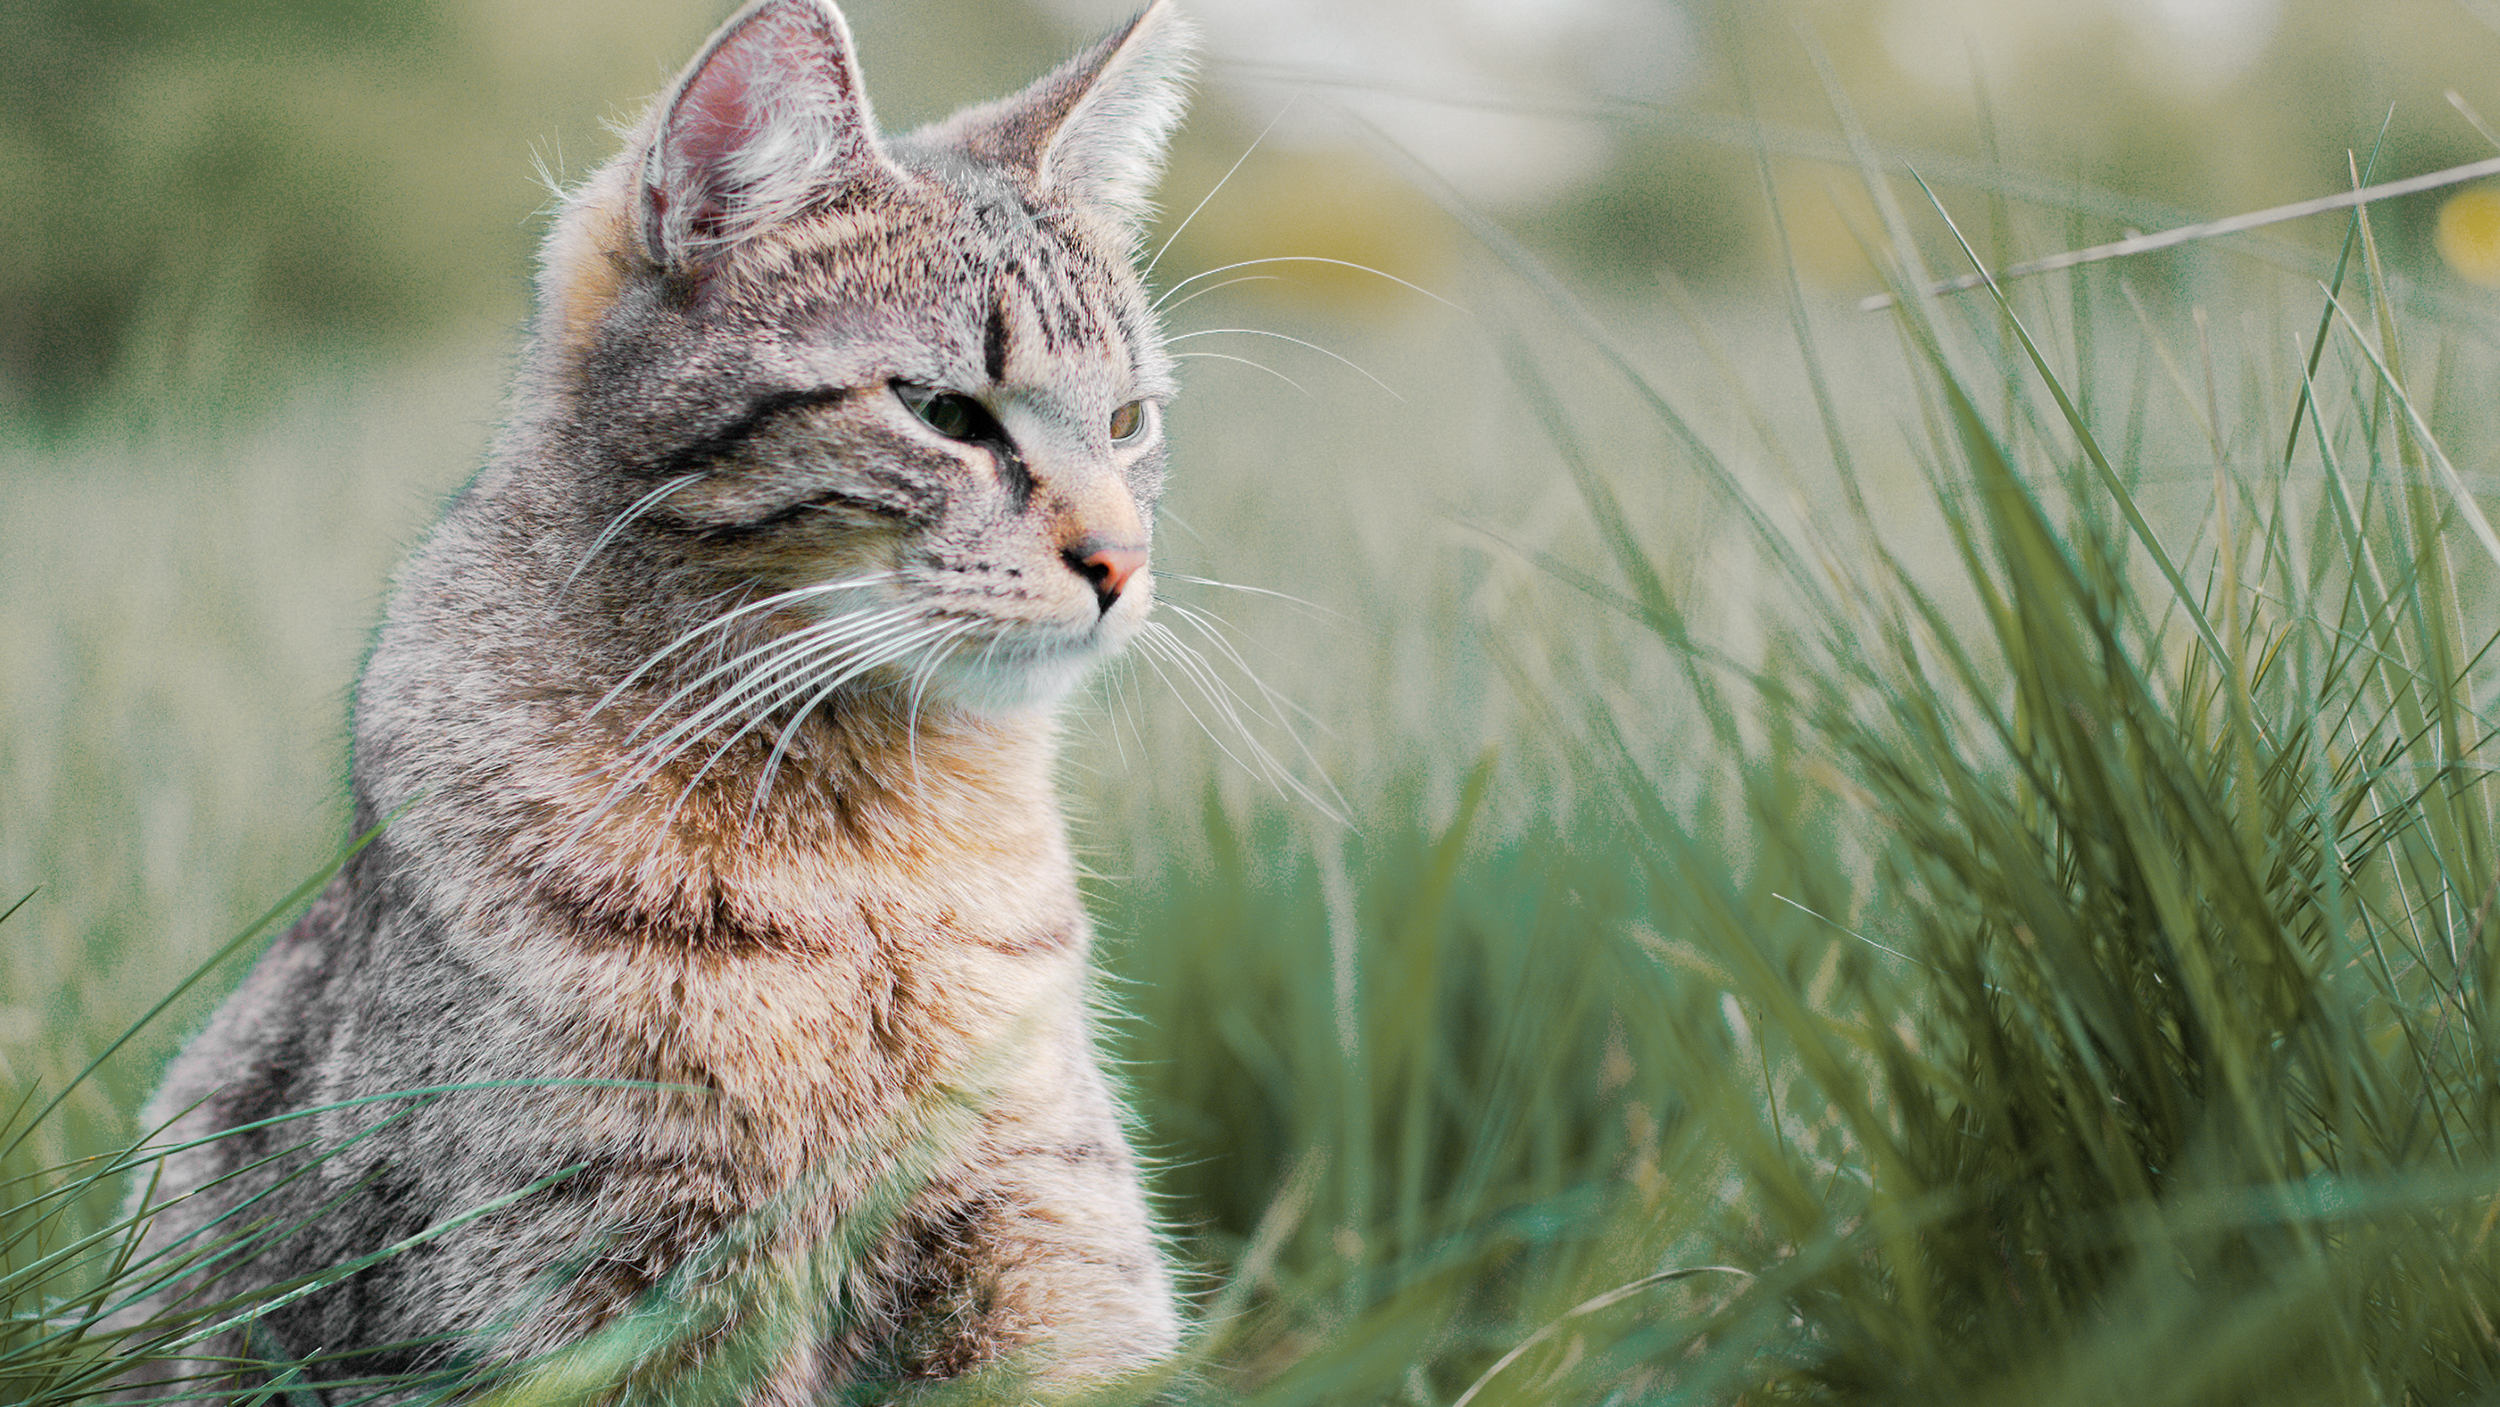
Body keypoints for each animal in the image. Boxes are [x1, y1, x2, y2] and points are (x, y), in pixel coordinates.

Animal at [121, 2, 1195, 1399]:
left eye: (1127, 422)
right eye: (943, 411)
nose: (1121, 560)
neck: (873, 861)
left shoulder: (1048, 1242)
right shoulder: (590, 1281)